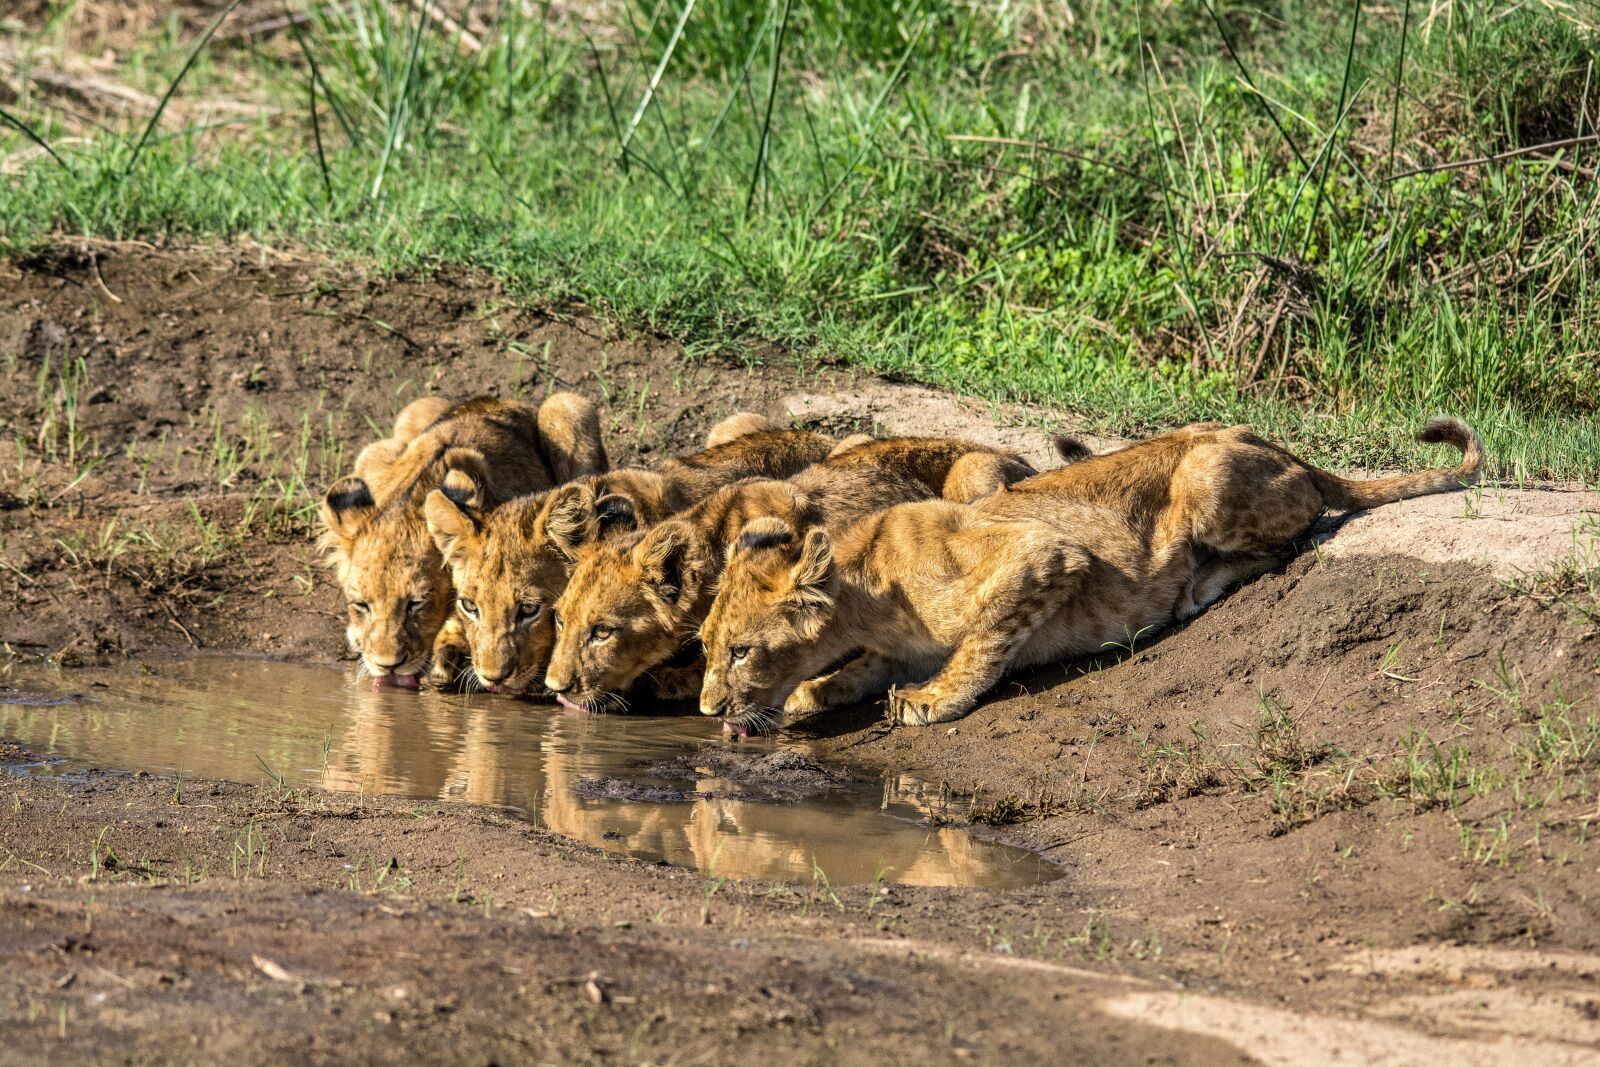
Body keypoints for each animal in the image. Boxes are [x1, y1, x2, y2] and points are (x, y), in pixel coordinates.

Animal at [319, 393, 606, 689]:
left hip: (565, 405)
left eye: (416, 604)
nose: (387, 666)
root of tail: (498, 400)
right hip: (390, 436)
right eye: (360, 605)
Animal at [697, 418, 1483, 734]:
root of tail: (1286, 448)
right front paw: (813, 693)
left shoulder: (1042, 557)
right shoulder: (889, 645)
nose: (705, 710)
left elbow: (982, 643)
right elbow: (855, 671)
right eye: (704, 645)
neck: (866, 585)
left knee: (1301, 528)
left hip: (1207, 475)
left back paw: (1198, 587)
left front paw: (934, 701)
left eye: (741, 650)